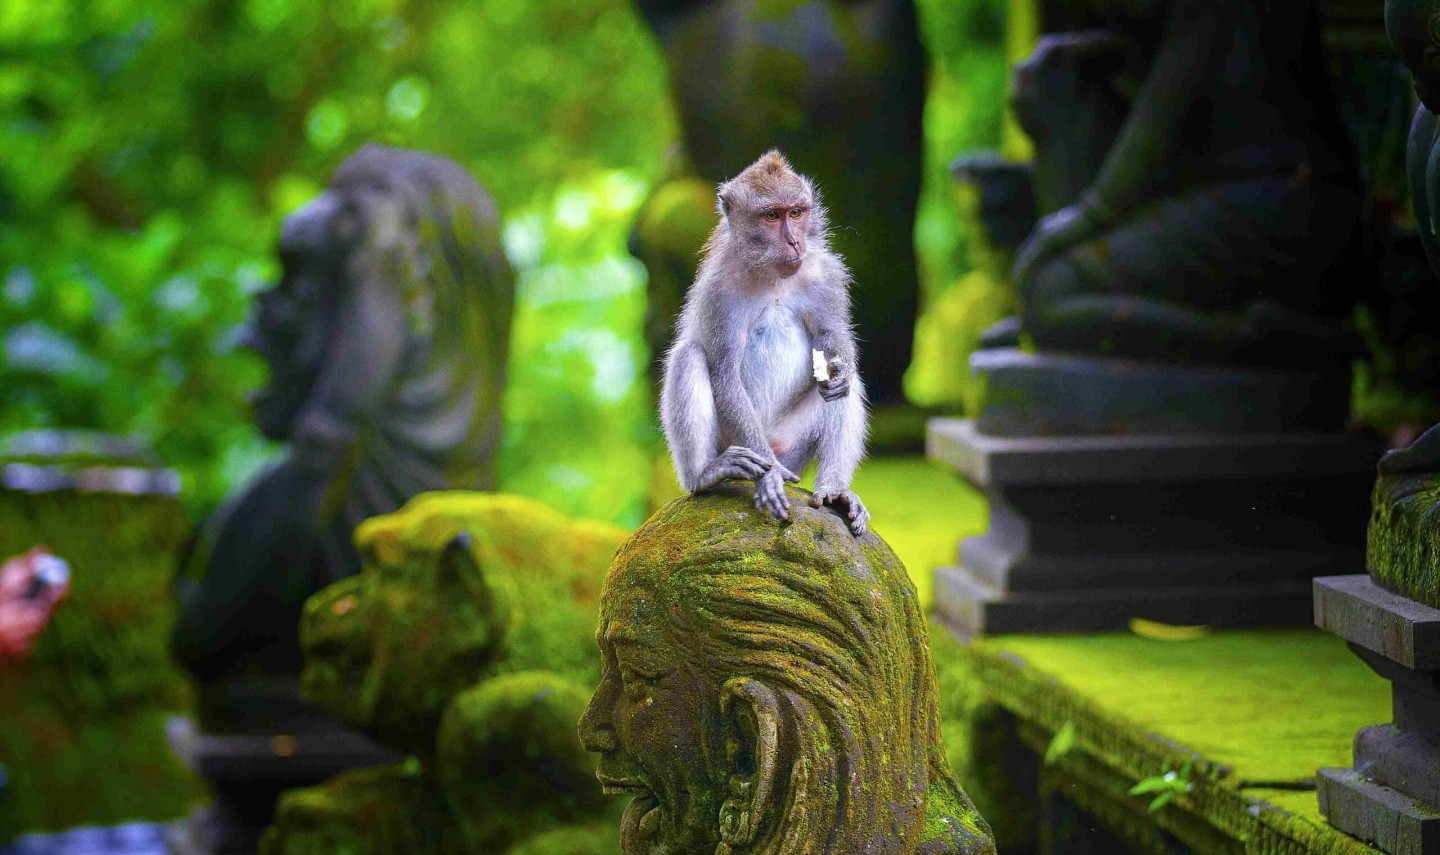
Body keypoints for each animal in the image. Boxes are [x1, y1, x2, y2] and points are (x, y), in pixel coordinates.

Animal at [660, 150, 870, 535]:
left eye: (796, 213)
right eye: (772, 216)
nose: (794, 242)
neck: (772, 276)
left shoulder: (827, 276)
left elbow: (833, 342)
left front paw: (840, 370)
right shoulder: (718, 293)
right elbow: (725, 375)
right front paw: (769, 478)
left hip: (793, 447)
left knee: (847, 387)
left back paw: (834, 490)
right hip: (736, 444)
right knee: (689, 356)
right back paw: (706, 475)